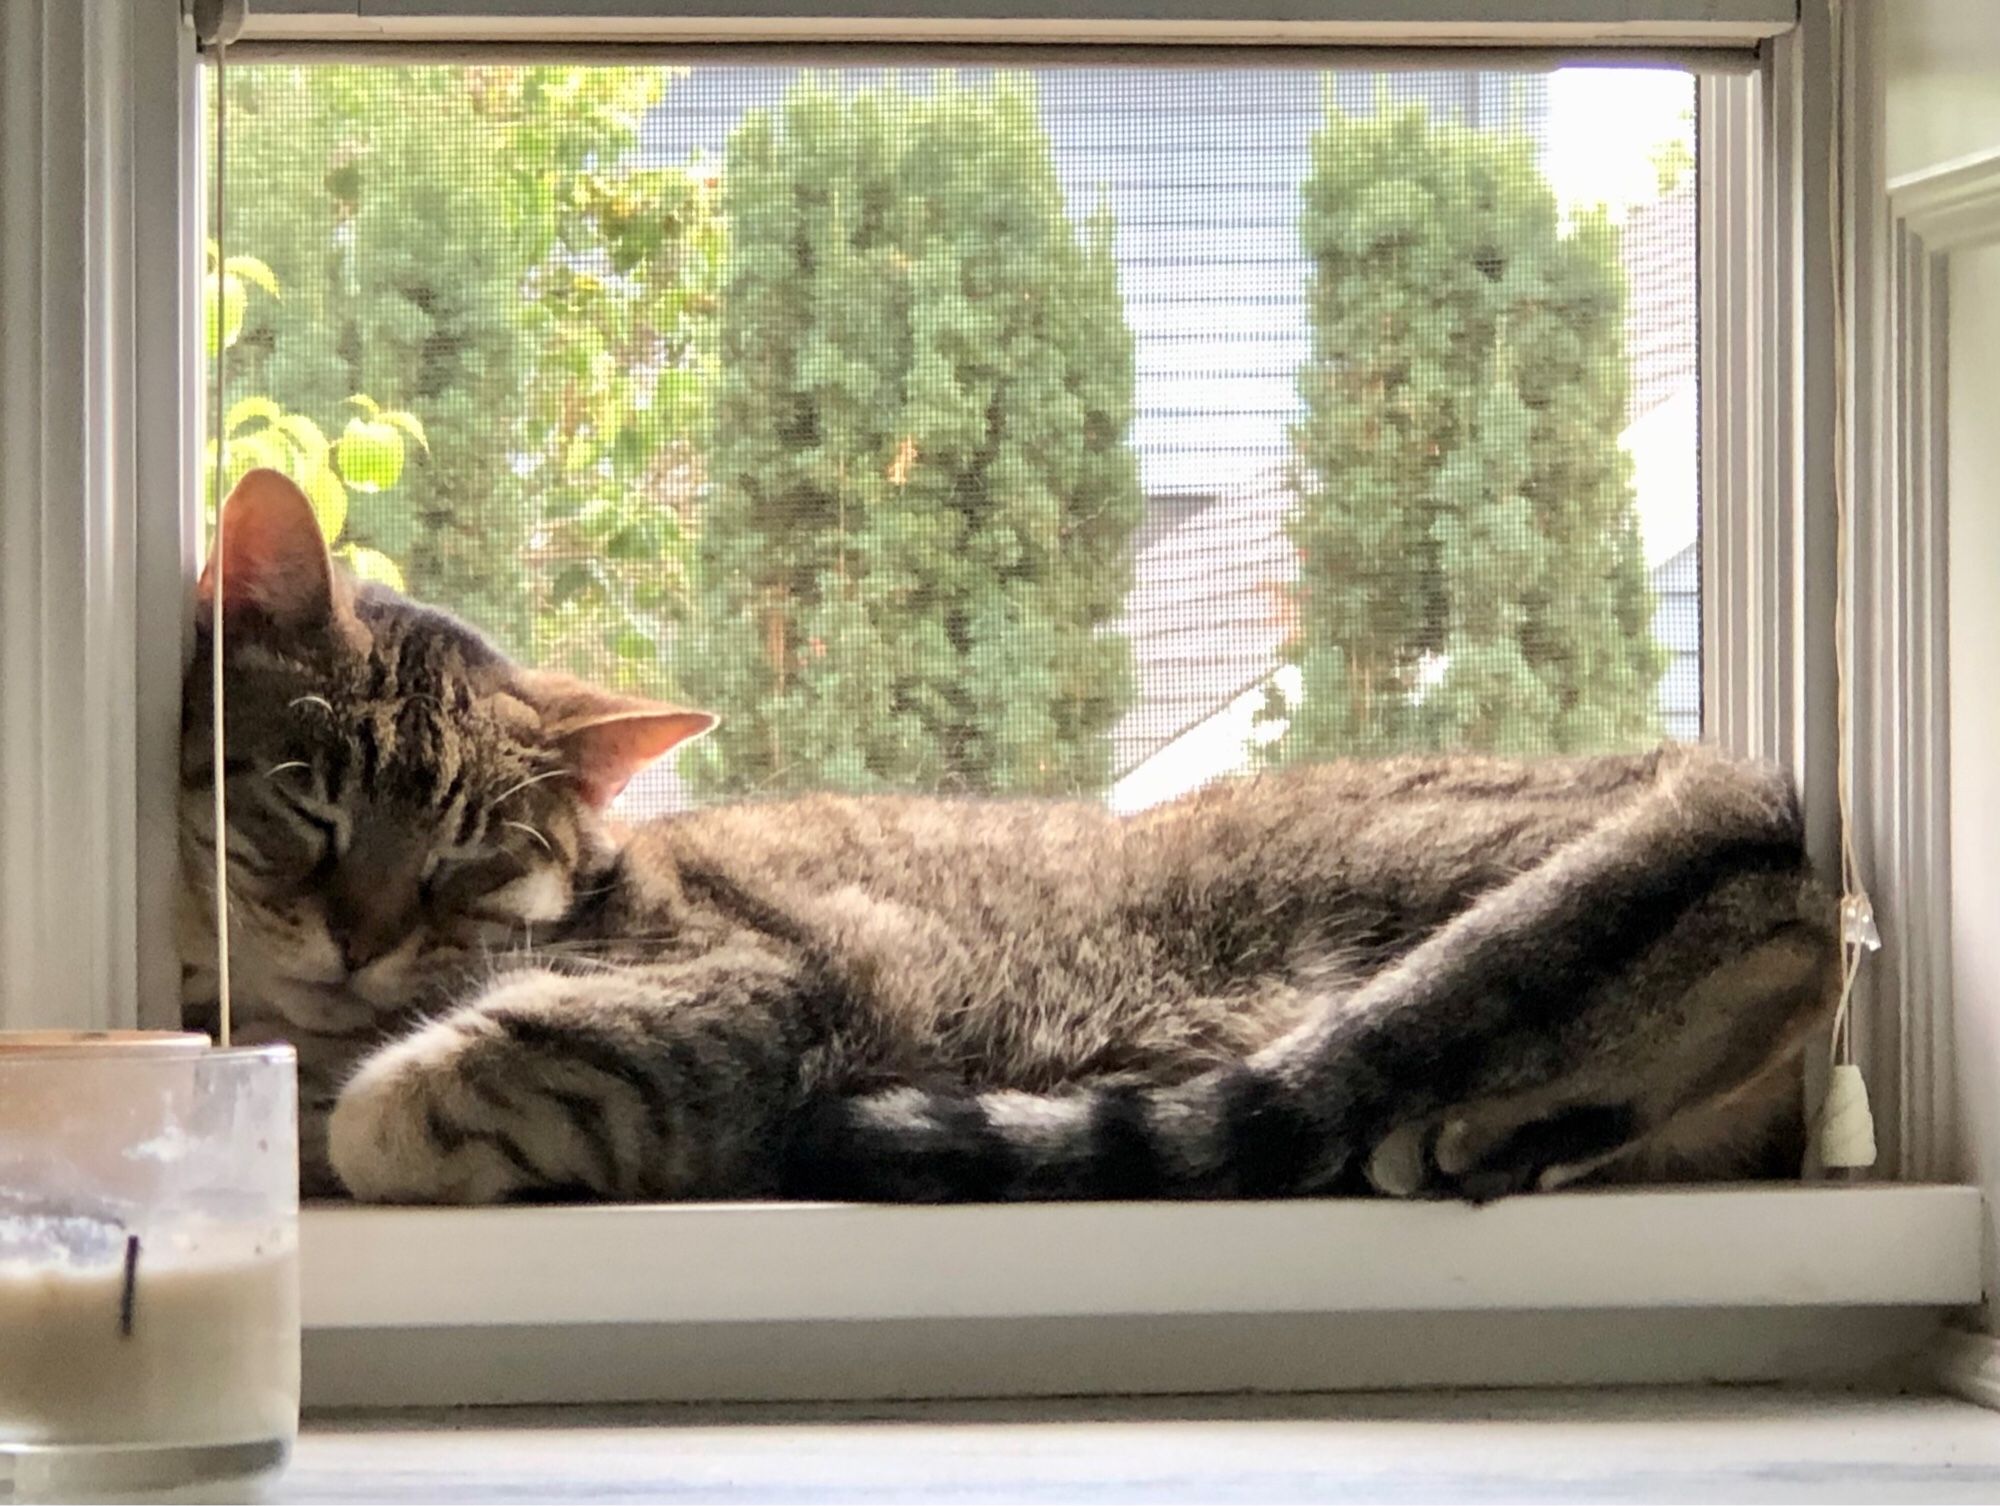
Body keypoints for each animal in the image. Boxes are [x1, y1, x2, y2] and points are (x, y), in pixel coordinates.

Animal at [180, 476, 1832, 1208]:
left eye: (466, 853)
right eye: (311, 793)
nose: (363, 933)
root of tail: (1720, 770)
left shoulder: (764, 991)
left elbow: (421, 1092)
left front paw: (363, 1102)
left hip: (1396, 901)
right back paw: (1506, 1133)